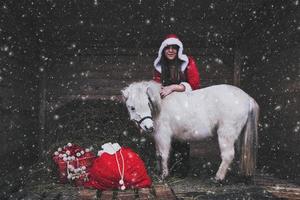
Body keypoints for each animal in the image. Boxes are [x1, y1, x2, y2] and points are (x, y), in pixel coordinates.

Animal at [120, 80, 258, 180]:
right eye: (132, 107)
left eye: (148, 104)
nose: (149, 127)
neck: (160, 106)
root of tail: (247, 98)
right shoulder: (157, 136)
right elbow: (158, 154)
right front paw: (158, 171)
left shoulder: (162, 135)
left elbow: (163, 155)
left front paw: (164, 175)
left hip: (226, 133)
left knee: (228, 155)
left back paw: (218, 178)